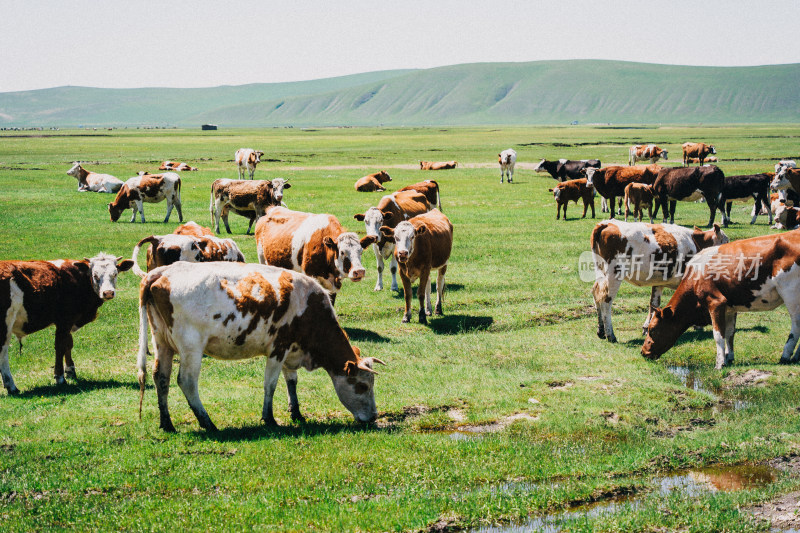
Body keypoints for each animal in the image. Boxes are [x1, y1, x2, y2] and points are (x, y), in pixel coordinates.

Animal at [0, 251, 134, 392]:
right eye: (95, 275)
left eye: (115, 274)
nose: (108, 292)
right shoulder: (64, 321)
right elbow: (60, 346)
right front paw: (60, 377)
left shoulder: (69, 321)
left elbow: (68, 344)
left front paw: (70, 371)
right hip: (5, 325)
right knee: (3, 353)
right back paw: (11, 386)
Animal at [135, 260, 384, 430]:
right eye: (362, 386)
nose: (373, 417)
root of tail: (161, 272)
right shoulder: (278, 348)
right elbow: (270, 385)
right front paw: (269, 418)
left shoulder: (290, 350)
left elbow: (291, 381)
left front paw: (296, 413)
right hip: (191, 348)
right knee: (186, 381)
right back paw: (208, 422)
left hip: (162, 343)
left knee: (161, 378)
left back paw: (167, 423)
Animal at [592, 218, 728, 342]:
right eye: (726, 241)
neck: (697, 243)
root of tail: (606, 223)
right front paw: (698, 325)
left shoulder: (659, 282)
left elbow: (654, 304)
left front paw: (647, 328)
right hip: (614, 274)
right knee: (606, 300)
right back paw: (610, 334)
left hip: (601, 272)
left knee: (596, 294)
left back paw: (601, 331)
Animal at [644, 231, 800, 368]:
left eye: (652, 330)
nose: (643, 352)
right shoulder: (730, 308)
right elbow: (730, 333)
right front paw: (729, 357)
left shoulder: (716, 303)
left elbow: (718, 335)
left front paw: (720, 363)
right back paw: (796, 357)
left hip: (790, 293)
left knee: (796, 326)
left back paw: (785, 356)